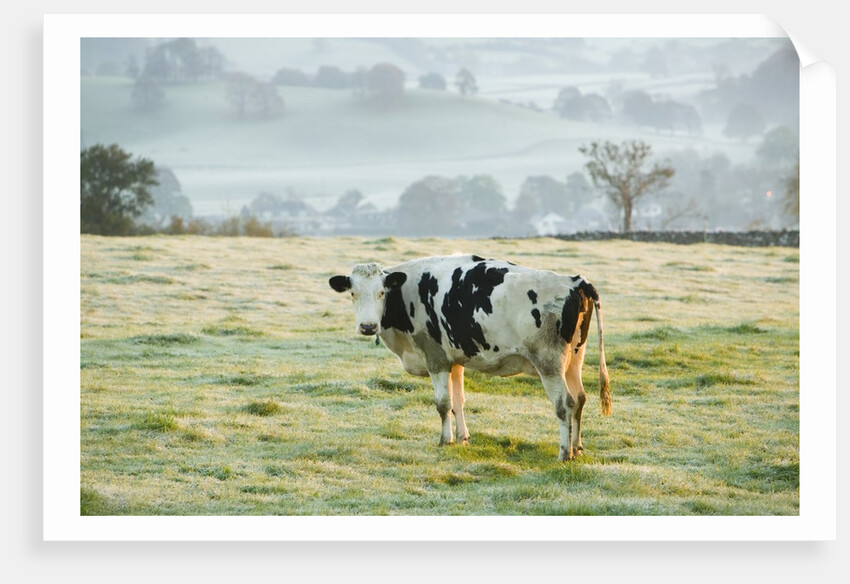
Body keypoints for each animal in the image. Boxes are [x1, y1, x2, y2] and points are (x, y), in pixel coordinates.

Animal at [328, 254, 610, 461]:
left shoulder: (436, 359)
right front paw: (462, 437)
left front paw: (445, 440)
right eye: (352, 293)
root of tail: (575, 281)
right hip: (574, 358)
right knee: (580, 398)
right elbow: (458, 402)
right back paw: (577, 447)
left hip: (549, 362)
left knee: (564, 404)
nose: (367, 326)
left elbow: (443, 404)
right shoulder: (454, 360)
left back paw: (564, 453)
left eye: (382, 292)